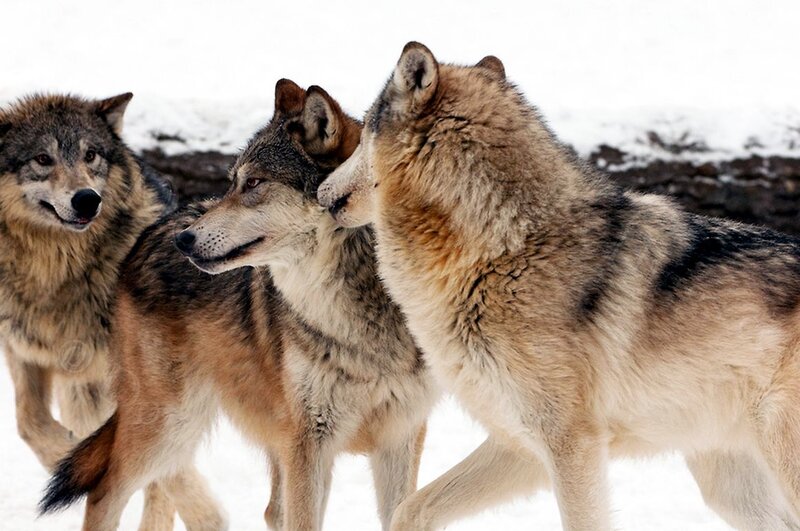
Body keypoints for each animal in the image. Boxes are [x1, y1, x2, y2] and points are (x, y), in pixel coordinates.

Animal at [0, 93, 197, 529]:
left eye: (91, 155)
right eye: (42, 158)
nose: (87, 198)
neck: (55, 273)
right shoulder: (23, 349)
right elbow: (29, 421)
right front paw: (64, 456)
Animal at [40, 80, 437, 531]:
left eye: (254, 183)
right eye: (233, 182)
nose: (186, 241)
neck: (364, 313)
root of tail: (154, 229)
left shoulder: (399, 436)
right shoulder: (309, 444)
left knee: (270, 510)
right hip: (170, 425)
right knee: (104, 492)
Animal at [317, 42, 800, 530]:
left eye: (364, 131)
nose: (319, 192)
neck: (502, 249)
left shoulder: (571, 443)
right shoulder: (522, 445)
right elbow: (410, 508)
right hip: (729, 485)